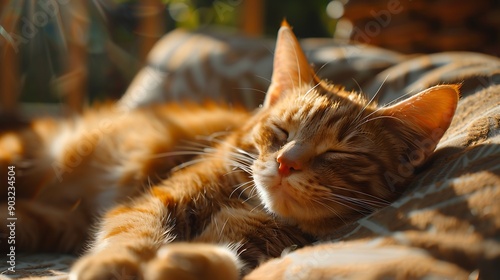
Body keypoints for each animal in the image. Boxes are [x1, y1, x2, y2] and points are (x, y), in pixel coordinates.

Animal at [0, 20, 458, 278]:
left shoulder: (252, 243)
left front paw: (181, 263)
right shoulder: (153, 201)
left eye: (339, 154)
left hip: (53, 221)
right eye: (282, 131)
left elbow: (221, 258)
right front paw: (116, 264)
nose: (285, 163)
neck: (249, 205)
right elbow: (133, 235)